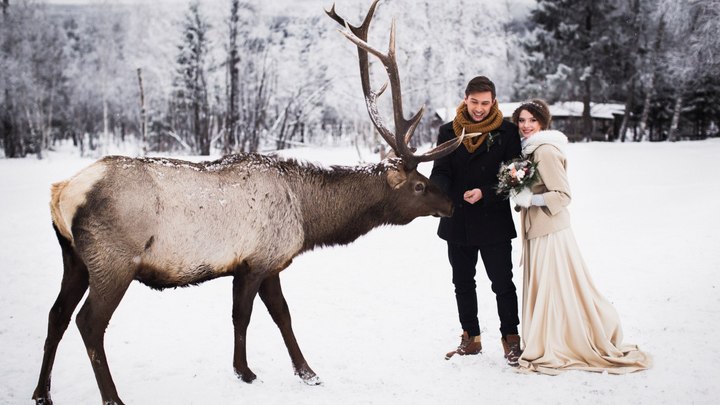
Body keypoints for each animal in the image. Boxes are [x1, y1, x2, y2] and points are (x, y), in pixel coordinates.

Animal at [32, 1, 462, 402]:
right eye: (419, 185)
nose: (452, 204)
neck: (307, 219)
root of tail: (62, 192)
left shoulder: (264, 265)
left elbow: (280, 316)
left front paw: (304, 372)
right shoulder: (258, 260)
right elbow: (247, 316)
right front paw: (250, 371)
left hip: (74, 258)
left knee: (56, 315)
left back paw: (42, 392)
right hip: (113, 260)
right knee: (89, 322)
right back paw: (112, 396)